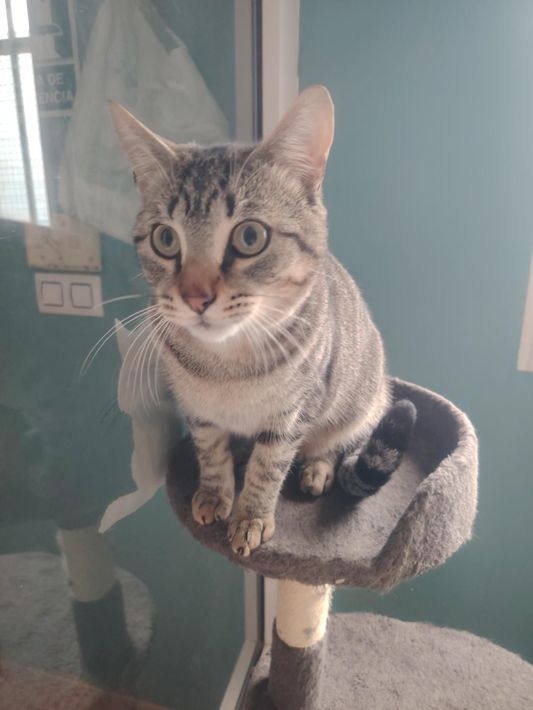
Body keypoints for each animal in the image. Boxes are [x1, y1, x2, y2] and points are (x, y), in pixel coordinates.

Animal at [111, 85, 416, 557]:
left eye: (250, 236)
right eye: (165, 239)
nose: (195, 297)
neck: (226, 367)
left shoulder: (292, 415)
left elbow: (268, 467)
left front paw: (251, 517)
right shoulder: (198, 411)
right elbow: (210, 451)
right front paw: (214, 494)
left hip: (361, 403)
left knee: (342, 443)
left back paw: (318, 468)